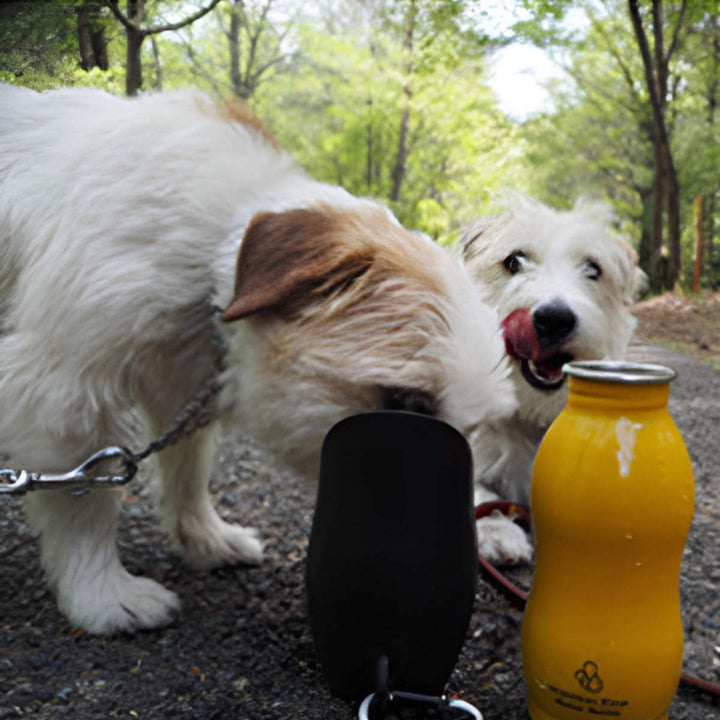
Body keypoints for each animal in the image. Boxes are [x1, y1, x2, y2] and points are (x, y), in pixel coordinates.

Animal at [0, 86, 516, 636]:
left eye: (472, 430)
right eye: (409, 404)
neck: (214, 240)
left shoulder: (183, 391)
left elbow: (187, 475)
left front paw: (205, 540)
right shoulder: (63, 395)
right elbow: (86, 501)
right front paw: (103, 596)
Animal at [462, 194, 636, 564]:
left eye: (593, 269)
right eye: (514, 261)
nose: (555, 318)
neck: (531, 411)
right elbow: (480, 492)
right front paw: (498, 531)